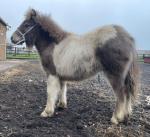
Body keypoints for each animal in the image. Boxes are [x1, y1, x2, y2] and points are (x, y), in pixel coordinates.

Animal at [10, 9, 139, 124]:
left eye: (26, 25)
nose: (12, 38)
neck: (53, 45)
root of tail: (127, 38)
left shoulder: (51, 74)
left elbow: (50, 92)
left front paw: (47, 112)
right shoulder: (61, 75)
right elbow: (62, 89)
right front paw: (61, 105)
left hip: (115, 76)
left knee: (121, 94)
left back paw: (116, 118)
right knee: (127, 92)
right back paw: (126, 115)